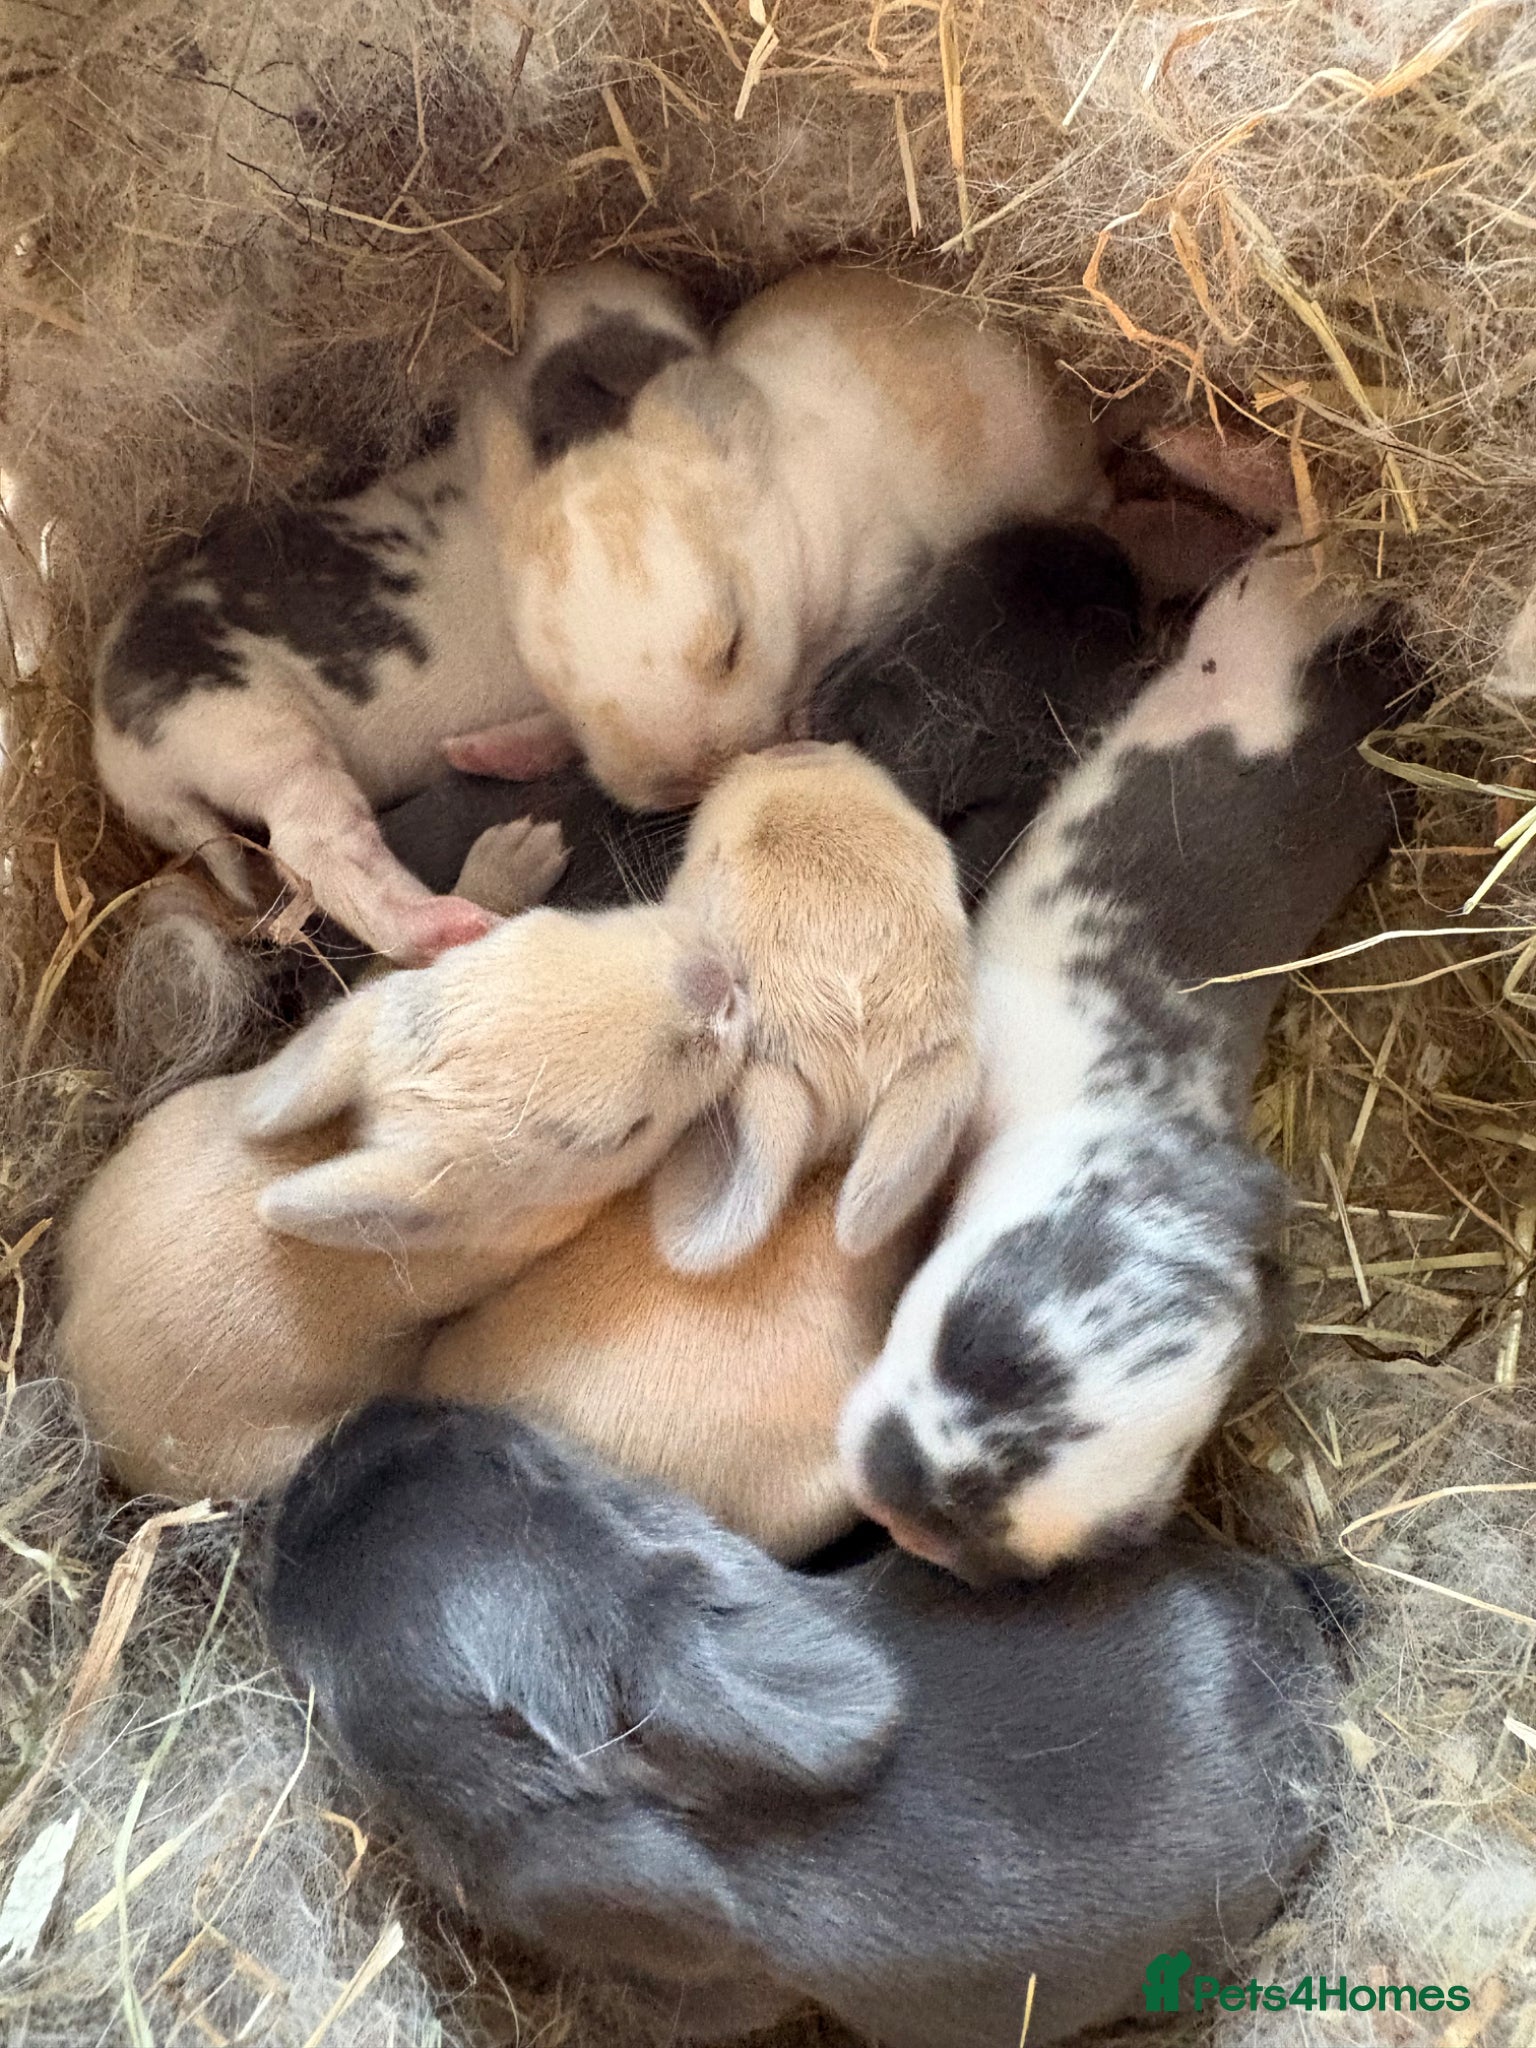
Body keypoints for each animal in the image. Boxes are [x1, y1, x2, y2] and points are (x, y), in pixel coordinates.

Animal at [92, 258, 703, 966]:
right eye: (598, 375)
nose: (607, 274)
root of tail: (117, 755)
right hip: (251, 727)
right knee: (316, 849)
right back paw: (460, 918)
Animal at [457, 263, 1108, 811]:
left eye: (733, 646)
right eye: (554, 693)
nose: (691, 782)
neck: (787, 514)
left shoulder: (883, 569)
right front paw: (475, 752)